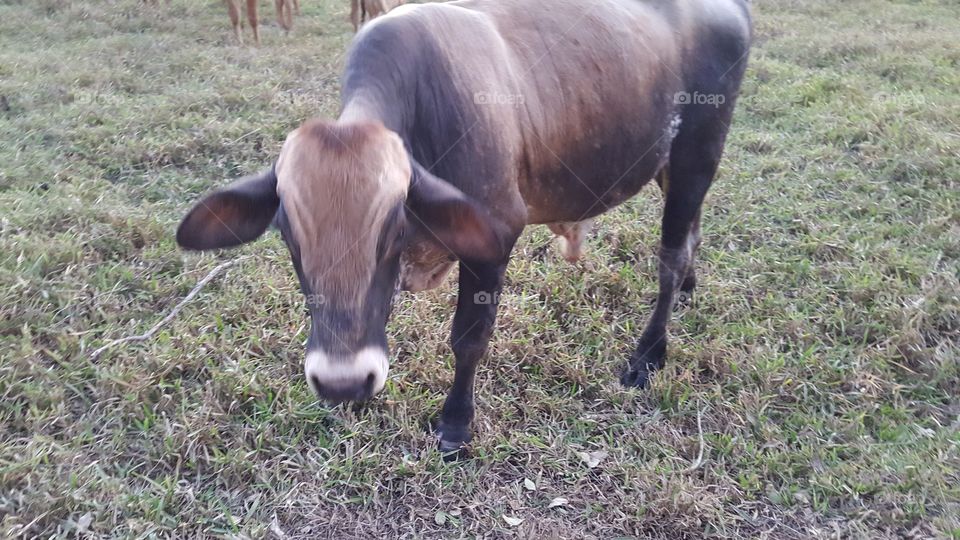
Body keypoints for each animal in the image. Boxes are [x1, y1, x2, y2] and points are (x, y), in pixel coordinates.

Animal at [177, 0, 752, 455]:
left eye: (393, 227)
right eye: (286, 231)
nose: (343, 382)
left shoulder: (494, 239)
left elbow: (468, 340)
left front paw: (455, 425)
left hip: (698, 152)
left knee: (670, 257)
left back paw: (648, 354)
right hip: (673, 167)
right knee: (691, 236)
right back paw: (689, 290)